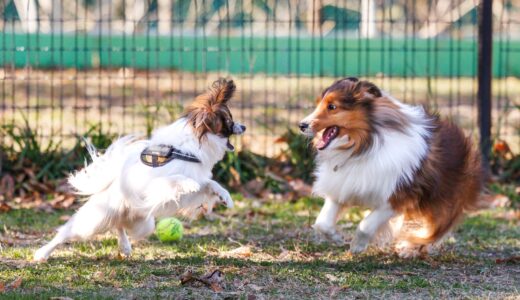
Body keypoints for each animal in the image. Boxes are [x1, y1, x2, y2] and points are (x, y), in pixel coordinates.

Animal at [34, 78, 246, 262]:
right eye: (229, 122)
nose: (244, 126)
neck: (186, 149)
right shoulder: (155, 185)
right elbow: (177, 179)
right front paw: (189, 183)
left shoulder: (194, 186)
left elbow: (210, 183)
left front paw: (225, 197)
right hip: (94, 221)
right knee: (67, 232)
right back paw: (42, 253)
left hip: (143, 224)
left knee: (118, 225)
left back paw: (125, 246)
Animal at [300, 77, 484, 258]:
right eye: (318, 104)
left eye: (332, 107)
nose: (301, 125)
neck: (362, 146)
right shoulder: (342, 186)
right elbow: (322, 222)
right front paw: (336, 238)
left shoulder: (395, 197)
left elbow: (366, 225)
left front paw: (357, 245)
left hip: (442, 202)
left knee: (432, 231)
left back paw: (409, 247)